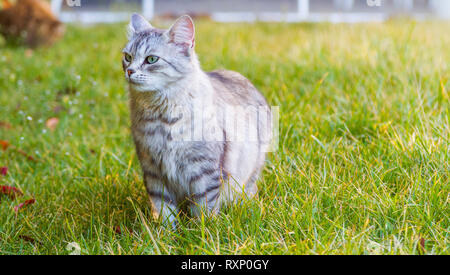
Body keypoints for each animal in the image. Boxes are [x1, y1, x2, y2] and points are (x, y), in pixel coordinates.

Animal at [121, 13, 272, 226]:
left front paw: (203, 230)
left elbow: (204, 207)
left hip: (250, 172)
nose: (130, 71)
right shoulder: (153, 170)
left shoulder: (203, 170)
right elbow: (164, 209)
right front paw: (165, 232)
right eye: (128, 57)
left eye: (151, 59)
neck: (162, 118)